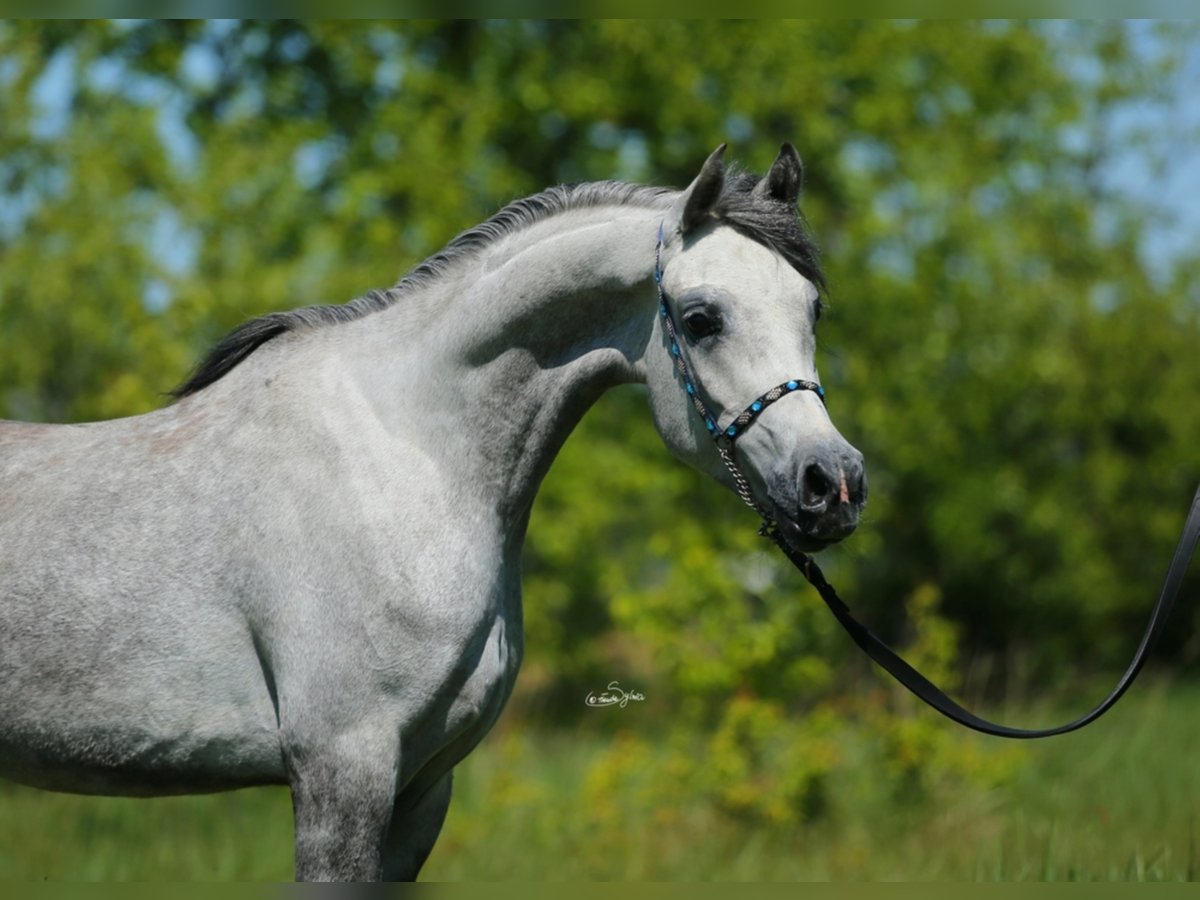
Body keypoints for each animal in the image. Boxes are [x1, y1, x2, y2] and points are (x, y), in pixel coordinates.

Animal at [0, 146, 864, 883]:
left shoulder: (421, 788)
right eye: (700, 318)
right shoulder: (342, 768)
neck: (407, 453)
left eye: (814, 310)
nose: (834, 483)